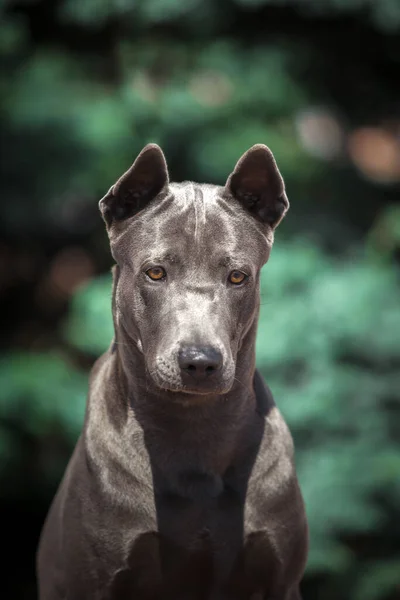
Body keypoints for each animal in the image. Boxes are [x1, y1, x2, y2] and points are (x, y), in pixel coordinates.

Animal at [37, 143, 308, 596]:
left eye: (238, 277)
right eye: (155, 272)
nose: (199, 361)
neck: (192, 426)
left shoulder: (280, 579)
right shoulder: (94, 579)